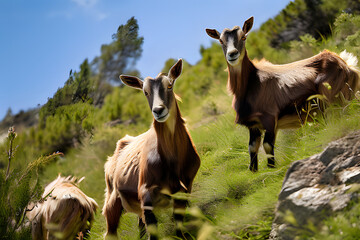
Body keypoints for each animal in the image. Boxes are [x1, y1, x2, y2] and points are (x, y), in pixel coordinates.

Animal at [102, 58, 201, 240]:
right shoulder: (145, 194)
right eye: (145, 92)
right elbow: (153, 231)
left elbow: (178, 225)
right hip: (113, 202)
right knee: (111, 231)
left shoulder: (184, 189)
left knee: (140, 226)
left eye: (169, 85)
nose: (158, 110)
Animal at [205, 15, 360, 172]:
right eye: (221, 41)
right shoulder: (253, 124)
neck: (252, 84)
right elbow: (252, 147)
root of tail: (346, 64)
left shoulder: (270, 118)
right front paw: (253, 170)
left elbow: (267, 146)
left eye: (243, 37)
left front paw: (271, 168)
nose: (232, 54)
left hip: (334, 102)